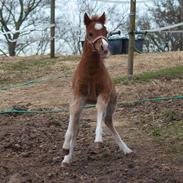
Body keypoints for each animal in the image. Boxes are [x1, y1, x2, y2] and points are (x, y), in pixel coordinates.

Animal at [62, 12, 132, 165]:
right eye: (90, 33)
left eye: (106, 32)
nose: (104, 48)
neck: (91, 73)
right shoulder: (77, 98)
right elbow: (72, 122)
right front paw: (65, 150)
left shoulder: (103, 94)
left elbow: (99, 109)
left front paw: (98, 140)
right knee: (76, 125)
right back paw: (67, 157)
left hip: (112, 104)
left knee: (108, 121)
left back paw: (126, 149)